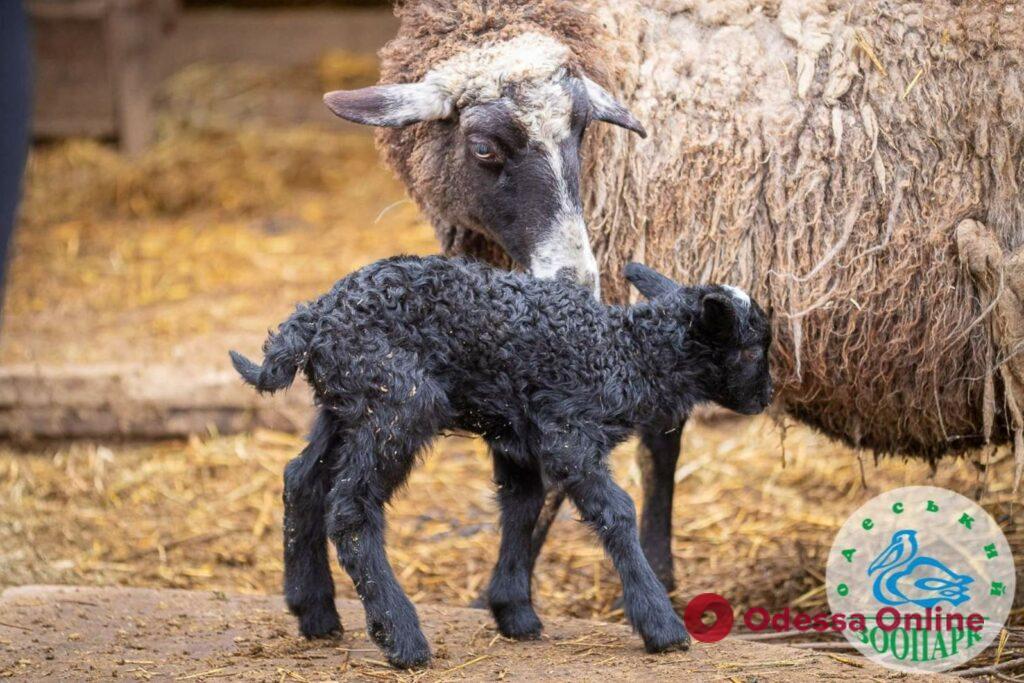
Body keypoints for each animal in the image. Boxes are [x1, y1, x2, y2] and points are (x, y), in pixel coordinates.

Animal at [232, 254, 770, 667]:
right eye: (749, 351)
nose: (764, 399)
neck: (622, 354)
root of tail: (311, 321)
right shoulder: (569, 433)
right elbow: (617, 513)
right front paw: (661, 626)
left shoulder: (518, 436)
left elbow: (522, 507)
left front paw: (514, 612)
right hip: (397, 401)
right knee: (350, 508)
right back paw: (402, 639)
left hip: (344, 405)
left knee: (301, 479)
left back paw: (315, 612)